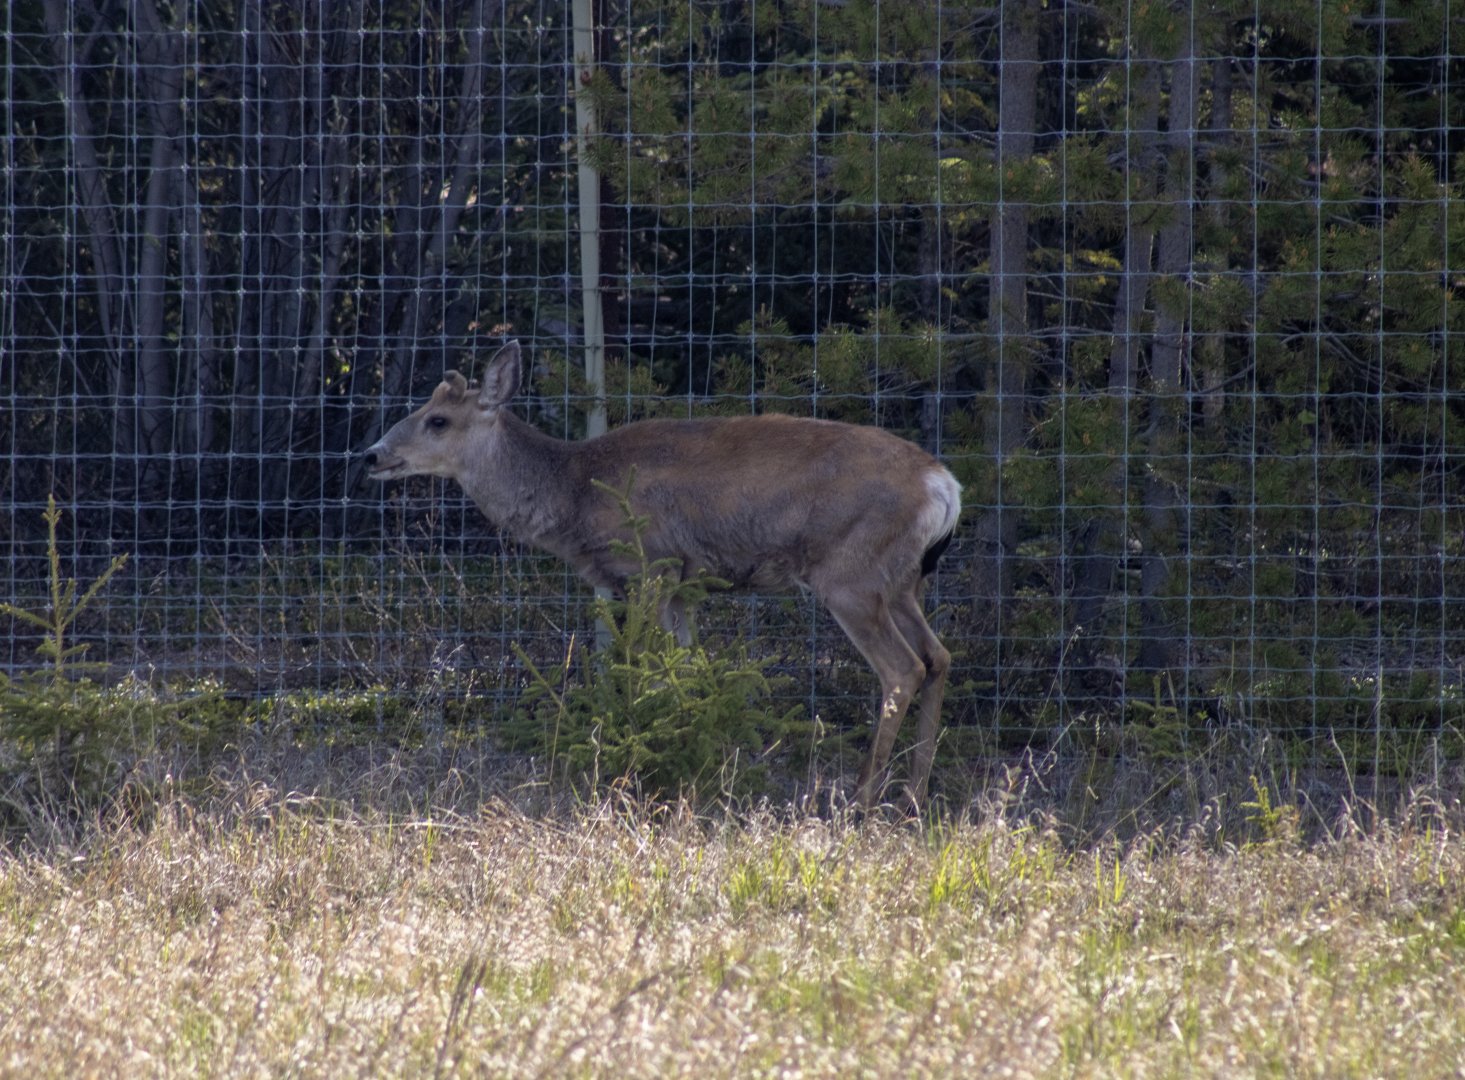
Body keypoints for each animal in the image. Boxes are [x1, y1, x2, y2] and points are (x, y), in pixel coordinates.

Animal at [362, 340, 962, 811]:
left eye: (437, 420)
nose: (371, 454)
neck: (576, 493)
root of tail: (944, 487)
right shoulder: (682, 587)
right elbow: (688, 672)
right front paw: (699, 758)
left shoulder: (653, 565)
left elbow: (645, 672)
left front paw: (641, 762)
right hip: (904, 581)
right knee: (939, 656)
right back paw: (913, 796)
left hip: (851, 575)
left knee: (902, 668)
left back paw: (860, 799)